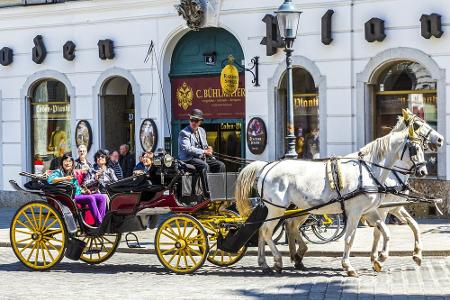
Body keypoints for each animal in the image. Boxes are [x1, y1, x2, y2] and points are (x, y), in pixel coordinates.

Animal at [236, 122, 428, 276]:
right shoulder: (357, 212)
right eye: (415, 149)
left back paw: (268, 263)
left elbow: (386, 232)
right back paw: (277, 261)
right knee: (267, 231)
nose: (423, 171)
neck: (370, 171)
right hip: (277, 208)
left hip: (289, 208)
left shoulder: (371, 211)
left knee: (269, 229)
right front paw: (349, 266)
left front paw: (380, 258)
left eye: (423, 147)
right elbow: (350, 239)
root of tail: (267, 167)